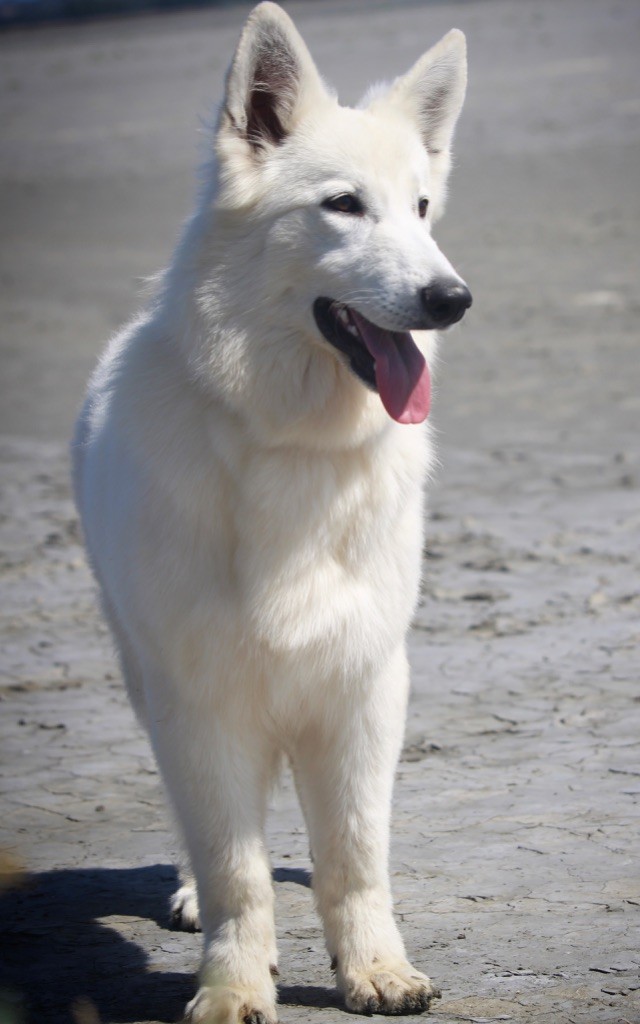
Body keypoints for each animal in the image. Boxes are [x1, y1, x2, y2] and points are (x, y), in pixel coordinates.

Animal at [73, 4, 468, 1019]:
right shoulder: (202, 699)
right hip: (149, 682)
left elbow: (354, 857)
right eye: (343, 205)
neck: (296, 449)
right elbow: (234, 868)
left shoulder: (363, 689)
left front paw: (374, 968)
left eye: (420, 209)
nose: (452, 298)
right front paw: (233, 985)